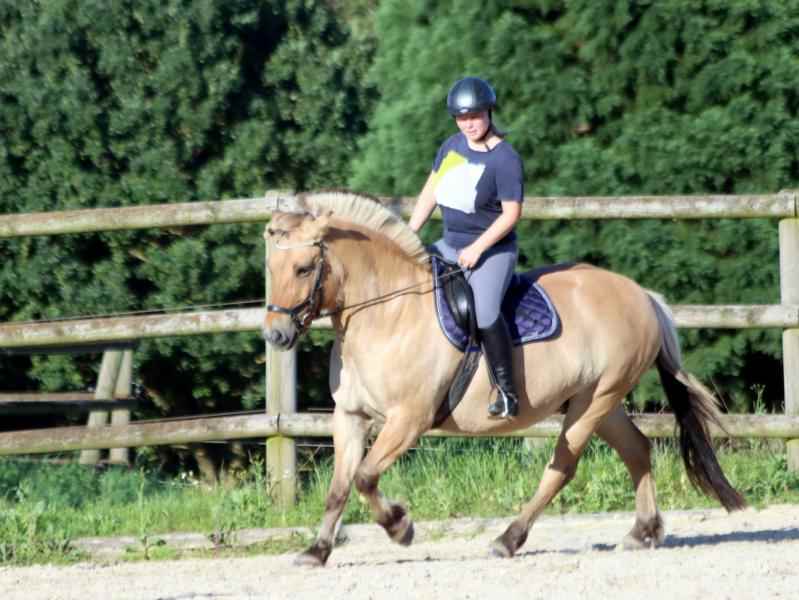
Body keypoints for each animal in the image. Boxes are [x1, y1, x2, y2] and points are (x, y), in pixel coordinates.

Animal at [262, 190, 745, 567]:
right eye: (271, 269)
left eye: (304, 269)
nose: (276, 334)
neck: (388, 314)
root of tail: (640, 294)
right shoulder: (350, 416)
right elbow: (339, 487)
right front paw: (317, 551)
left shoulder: (408, 420)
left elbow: (363, 478)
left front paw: (401, 526)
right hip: (599, 401)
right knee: (637, 450)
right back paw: (643, 532)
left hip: (593, 402)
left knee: (562, 467)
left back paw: (508, 539)